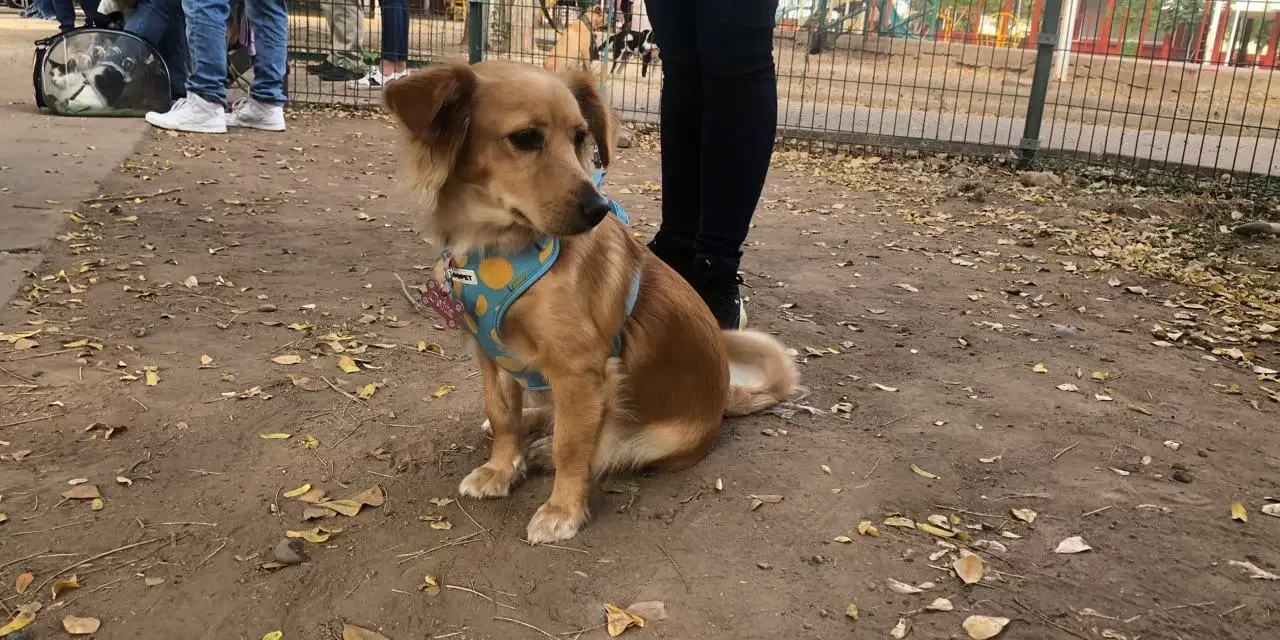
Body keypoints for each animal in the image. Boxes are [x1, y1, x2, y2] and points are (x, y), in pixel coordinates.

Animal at [384, 60, 793, 542]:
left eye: (580, 137)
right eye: (526, 137)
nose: (599, 209)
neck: (501, 247)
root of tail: (726, 397)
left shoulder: (579, 372)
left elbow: (574, 446)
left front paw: (562, 509)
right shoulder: (491, 357)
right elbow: (502, 415)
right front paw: (500, 470)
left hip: (650, 435)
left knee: (605, 443)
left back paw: (545, 450)